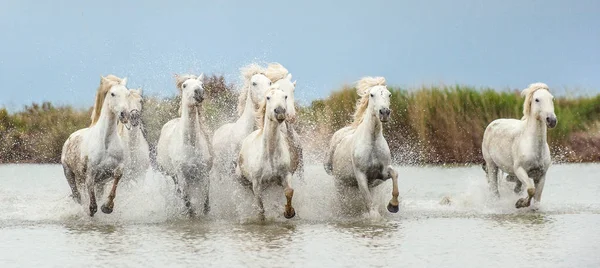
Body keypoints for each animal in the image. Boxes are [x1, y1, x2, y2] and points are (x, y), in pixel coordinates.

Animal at [61, 75, 131, 216]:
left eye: (127, 94)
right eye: (112, 94)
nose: (124, 114)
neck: (106, 143)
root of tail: (70, 138)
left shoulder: (115, 169)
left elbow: (117, 178)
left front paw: (107, 207)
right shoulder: (91, 173)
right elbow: (91, 200)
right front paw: (92, 209)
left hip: (99, 183)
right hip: (69, 173)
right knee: (77, 195)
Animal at [156, 74, 212, 217]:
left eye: (202, 84)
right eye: (184, 85)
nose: (199, 92)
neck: (190, 145)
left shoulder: (203, 173)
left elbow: (205, 200)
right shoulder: (181, 175)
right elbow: (187, 200)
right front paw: (190, 215)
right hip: (173, 176)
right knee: (178, 192)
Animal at [234, 86, 296, 220]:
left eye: (285, 96)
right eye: (268, 97)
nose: (280, 112)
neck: (270, 153)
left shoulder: (285, 175)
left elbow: (289, 191)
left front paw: (289, 212)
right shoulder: (257, 184)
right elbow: (261, 208)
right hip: (241, 179)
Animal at [324, 76, 398, 217]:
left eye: (389, 94)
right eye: (372, 94)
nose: (384, 112)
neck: (372, 141)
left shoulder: (381, 174)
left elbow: (394, 173)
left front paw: (393, 206)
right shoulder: (361, 176)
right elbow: (371, 206)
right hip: (340, 184)